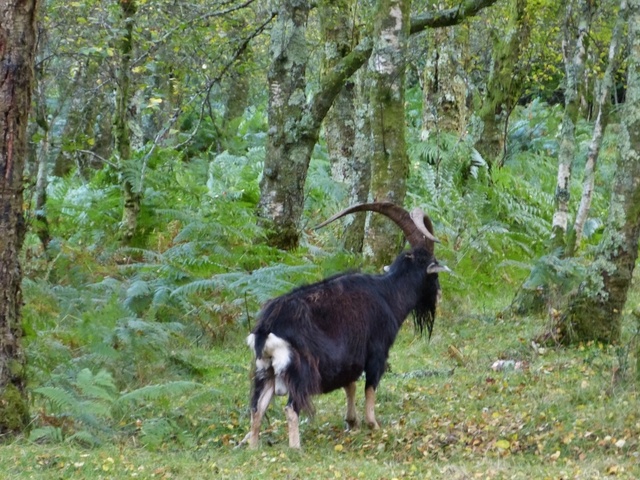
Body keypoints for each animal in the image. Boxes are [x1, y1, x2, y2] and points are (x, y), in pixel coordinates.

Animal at [242, 201, 448, 448]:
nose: (439, 295)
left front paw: (352, 422)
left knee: (257, 409)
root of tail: (266, 329)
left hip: (265, 372)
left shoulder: (350, 359)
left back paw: (254, 448)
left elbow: (350, 386)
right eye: (433, 273)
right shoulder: (377, 352)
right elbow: (370, 387)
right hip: (300, 370)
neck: (387, 294)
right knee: (291, 408)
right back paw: (295, 448)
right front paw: (373, 424)